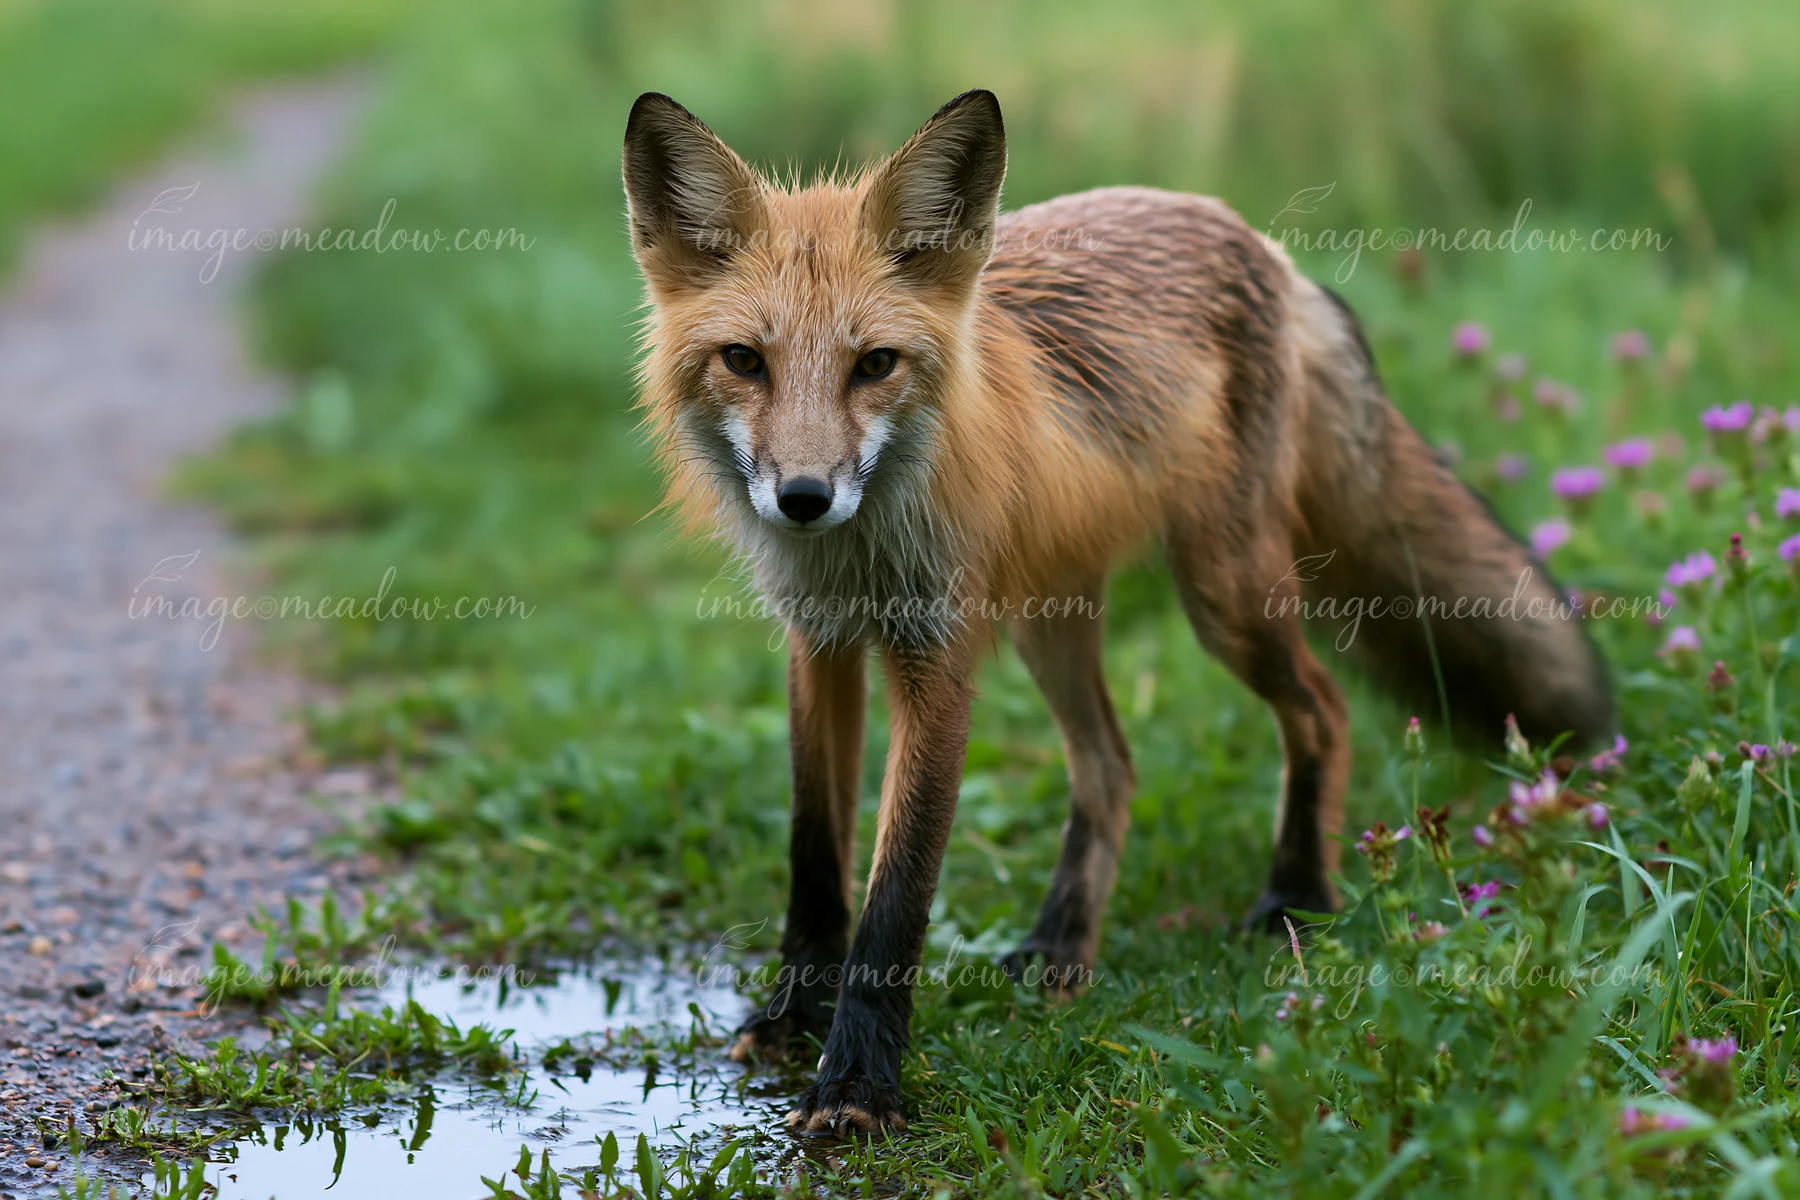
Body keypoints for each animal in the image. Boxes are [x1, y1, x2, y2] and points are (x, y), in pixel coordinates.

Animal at [621, 89, 1614, 1135]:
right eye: (744, 361)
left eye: (875, 364)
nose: (804, 499)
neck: (858, 557)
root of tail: (1256, 239)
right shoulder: (816, 645)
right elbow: (815, 858)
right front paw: (790, 1022)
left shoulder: (938, 656)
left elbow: (897, 891)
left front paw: (857, 1084)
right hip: (1050, 620)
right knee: (1111, 765)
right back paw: (1063, 948)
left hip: (1225, 598)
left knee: (1322, 709)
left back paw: (1296, 897)